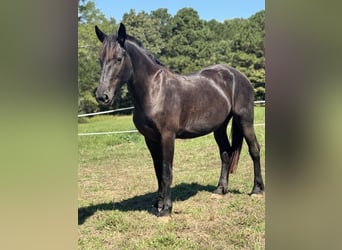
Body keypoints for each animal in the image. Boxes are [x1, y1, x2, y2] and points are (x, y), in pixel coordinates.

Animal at [93, 23, 264, 217]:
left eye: (119, 58)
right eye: (100, 59)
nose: (102, 96)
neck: (155, 90)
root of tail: (238, 75)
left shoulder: (168, 136)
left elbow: (167, 171)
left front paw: (166, 210)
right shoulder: (150, 139)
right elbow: (158, 171)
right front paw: (158, 204)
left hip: (245, 120)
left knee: (254, 149)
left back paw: (257, 190)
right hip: (219, 127)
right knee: (225, 153)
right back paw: (220, 190)